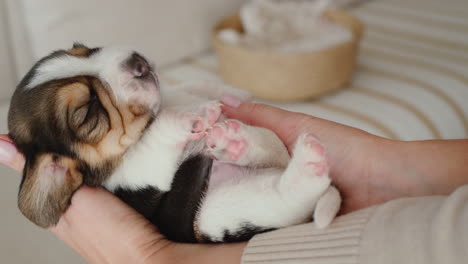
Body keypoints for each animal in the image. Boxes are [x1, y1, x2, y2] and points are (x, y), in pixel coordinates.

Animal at [7, 43, 340, 243]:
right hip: (215, 214)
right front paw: (189, 117)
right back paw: (304, 163)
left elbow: (194, 86)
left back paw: (236, 141)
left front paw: (232, 94)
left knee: (274, 148)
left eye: (87, 49)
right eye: (89, 111)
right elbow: (157, 134)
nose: (138, 61)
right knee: (289, 197)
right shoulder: (138, 173)